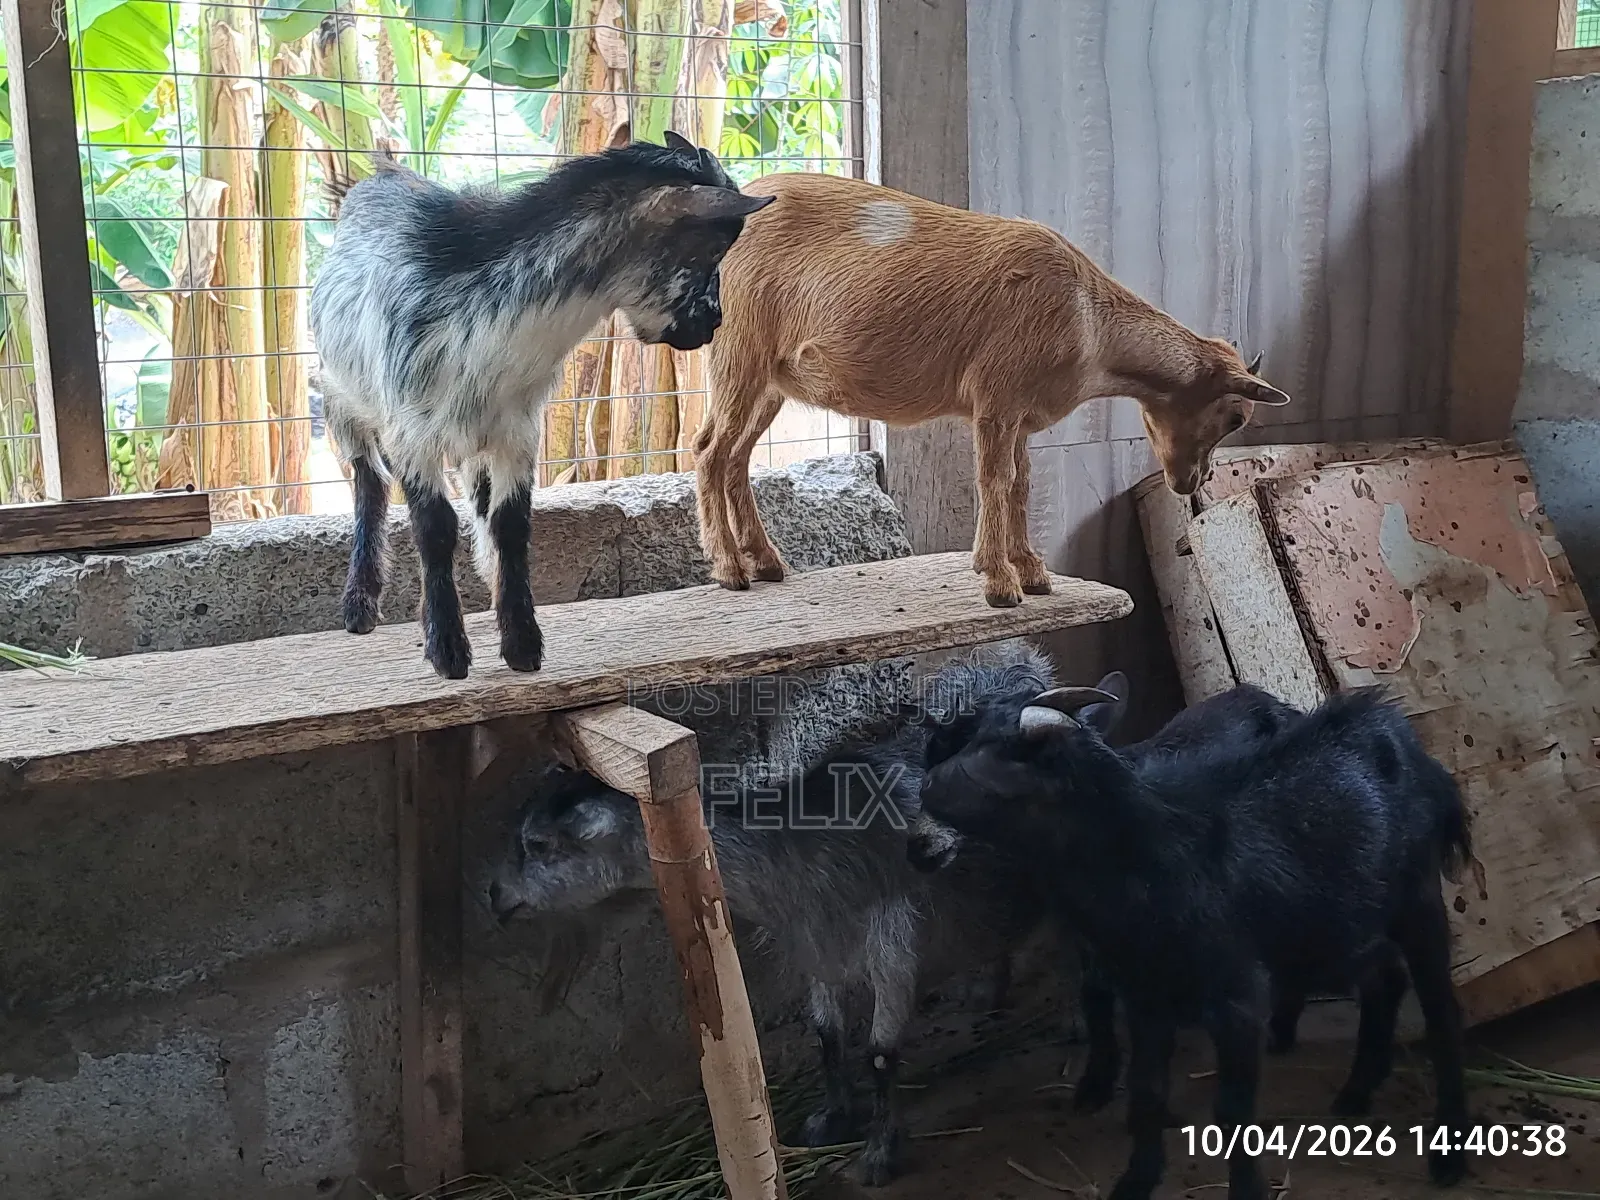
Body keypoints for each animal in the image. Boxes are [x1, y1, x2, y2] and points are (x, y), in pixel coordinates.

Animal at [309, 133, 772, 678]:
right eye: (713, 246)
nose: (713, 323)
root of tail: (381, 175)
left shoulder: (518, 431)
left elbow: (511, 525)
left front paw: (522, 642)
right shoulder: (412, 432)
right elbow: (434, 527)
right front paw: (447, 650)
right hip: (339, 393)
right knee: (368, 479)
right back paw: (360, 605)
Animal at [486, 651, 1069, 1186]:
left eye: (538, 844)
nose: (494, 896)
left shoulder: (895, 943)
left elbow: (881, 1054)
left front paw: (879, 1153)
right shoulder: (814, 943)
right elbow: (826, 1034)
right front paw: (830, 1118)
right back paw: (988, 993)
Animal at [693, 172, 1292, 607]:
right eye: (1235, 417)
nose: (1192, 481)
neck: (1088, 319)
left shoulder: (1022, 414)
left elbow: (1021, 484)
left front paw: (1032, 572)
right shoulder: (997, 396)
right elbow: (994, 480)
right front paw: (1000, 581)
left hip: (770, 378)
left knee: (737, 456)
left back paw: (766, 562)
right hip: (739, 349)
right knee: (709, 451)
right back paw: (729, 569)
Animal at [912, 685, 1473, 1200]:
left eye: (1005, 752)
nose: (927, 787)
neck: (1152, 856)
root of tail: (1393, 727)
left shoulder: (1237, 999)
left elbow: (1234, 1112)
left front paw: (1246, 1191)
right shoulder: (1146, 999)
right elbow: (1146, 1093)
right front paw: (1135, 1182)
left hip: (1417, 902)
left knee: (1442, 1014)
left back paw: (1449, 1152)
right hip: (1343, 916)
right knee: (1384, 981)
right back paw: (1357, 1091)